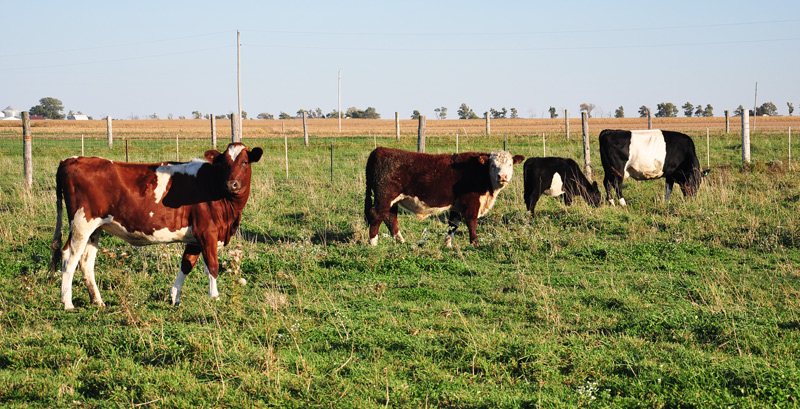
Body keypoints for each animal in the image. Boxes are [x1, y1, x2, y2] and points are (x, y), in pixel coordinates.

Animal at [51, 142, 263, 311]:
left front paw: (174, 297)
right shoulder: (207, 232)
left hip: (96, 228)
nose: (232, 184)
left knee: (86, 261)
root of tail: (71, 160)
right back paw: (67, 303)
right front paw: (215, 298)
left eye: (245, 162)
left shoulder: (195, 238)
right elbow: (212, 266)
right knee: (69, 257)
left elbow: (186, 264)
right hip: (81, 224)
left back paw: (97, 301)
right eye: (224, 164)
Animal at [364, 147, 524, 247]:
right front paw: (475, 243)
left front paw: (447, 243)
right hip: (384, 196)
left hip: (392, 200)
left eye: (510, 164)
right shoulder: (471, 202)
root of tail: (379, 150)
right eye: (492, 165)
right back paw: (373, 242)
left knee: (390, 217)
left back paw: (400, 241)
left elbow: (454, 224)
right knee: (376, 215)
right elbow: (472, 222)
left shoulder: (457, 205)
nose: (502, 176)